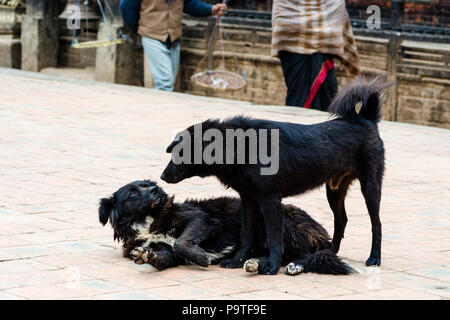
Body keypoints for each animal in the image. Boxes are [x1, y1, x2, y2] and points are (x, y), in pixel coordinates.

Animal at [98, 180, 352, 276]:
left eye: (148, 185)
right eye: (132, 193)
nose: (156, 189)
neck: (150, 222)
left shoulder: (203, 220)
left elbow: (181, 242)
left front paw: (201, 257)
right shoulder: (165, 250)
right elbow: (163, 256)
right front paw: (146, 255)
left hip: (279, 222)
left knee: (305, 254)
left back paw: (296, 265)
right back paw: (254, 263)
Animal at [161, 75, 390, 276]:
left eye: (180, 153)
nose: (162, 176)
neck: (238, 145)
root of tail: (366, 120)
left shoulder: (270, 200)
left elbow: (273, 238)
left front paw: (271, 266)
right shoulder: (248, 200)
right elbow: (246, 235)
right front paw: (237, 260)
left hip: (370, 187)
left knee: (377, 224)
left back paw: (374, 258)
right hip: (334, 191)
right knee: (341, 220)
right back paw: (330, 252)